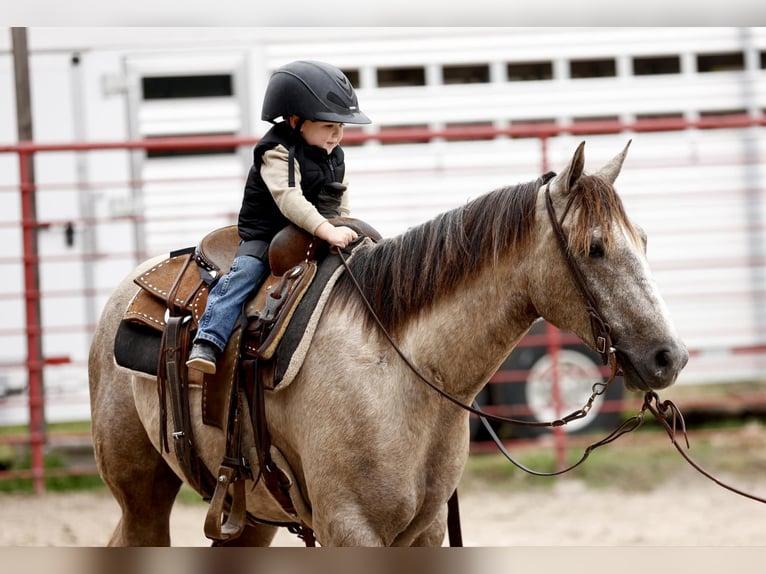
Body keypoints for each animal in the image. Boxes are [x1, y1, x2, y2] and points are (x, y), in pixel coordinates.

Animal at [88, 142, 688, 548]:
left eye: (644, 240)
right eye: (595, 248)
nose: (670, 356)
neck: (400, 372)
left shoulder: (424, 531)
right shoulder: (349, 529)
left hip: (247, 515)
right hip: (142, 496)